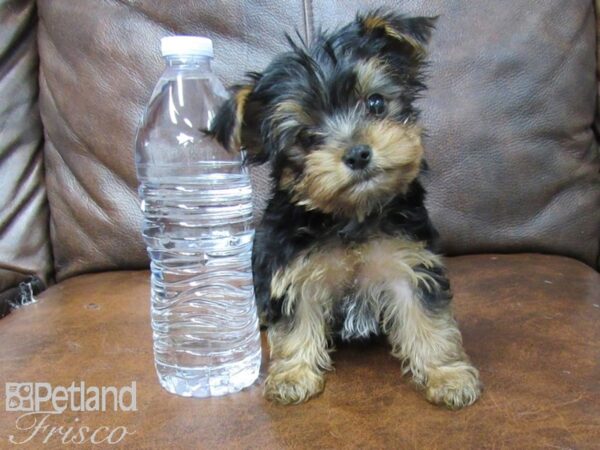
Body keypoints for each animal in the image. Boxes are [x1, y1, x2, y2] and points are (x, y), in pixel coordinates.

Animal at [211, 8, 482, 410]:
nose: (357, 153)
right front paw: (293, 375)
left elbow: (428, 320)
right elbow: (295, 324)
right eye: (306, 137)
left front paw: (447, 375)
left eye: (376, 103)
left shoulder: (408, 262)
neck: (351, 215)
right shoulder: (294, 271)